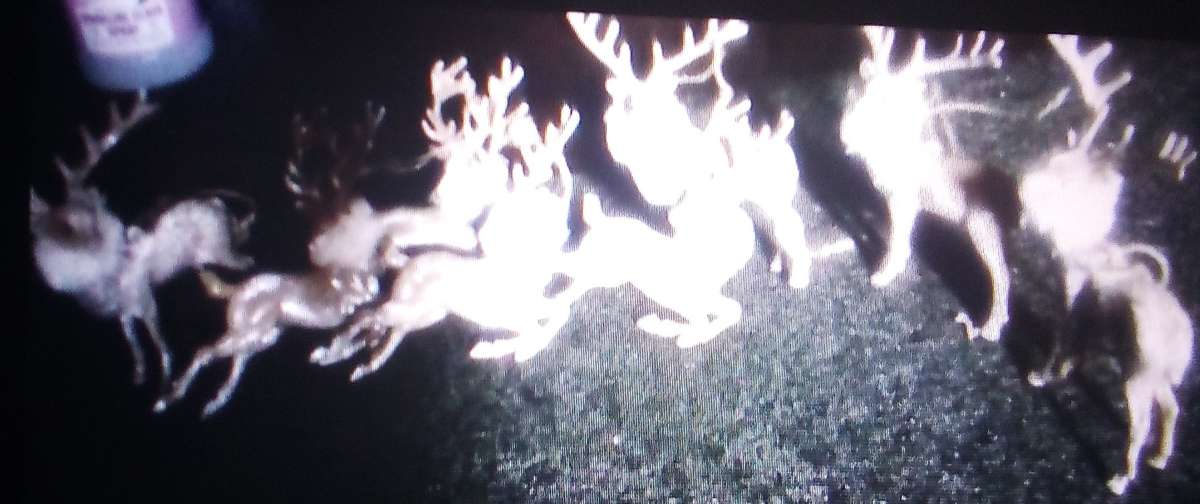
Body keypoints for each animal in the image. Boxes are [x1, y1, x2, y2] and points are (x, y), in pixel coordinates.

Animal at [29, 90, 255, 387]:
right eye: (48, 227)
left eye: (77, 223)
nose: (83, 239)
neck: (104, 280)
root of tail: (217, 205)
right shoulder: (123, 312)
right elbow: (132, 339)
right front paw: (139, 373)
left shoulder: (145, 298)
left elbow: (156, 335)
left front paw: (166, 373)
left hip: (221, 250)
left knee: (244, 259)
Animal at [839, 26, 1011, 341]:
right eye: (859, 91)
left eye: (888, 104)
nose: (845, 134)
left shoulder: (903, 197)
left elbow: (898, 237)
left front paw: (882, 275)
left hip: (982, 224)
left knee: (1001, 273)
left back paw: (988, 328)